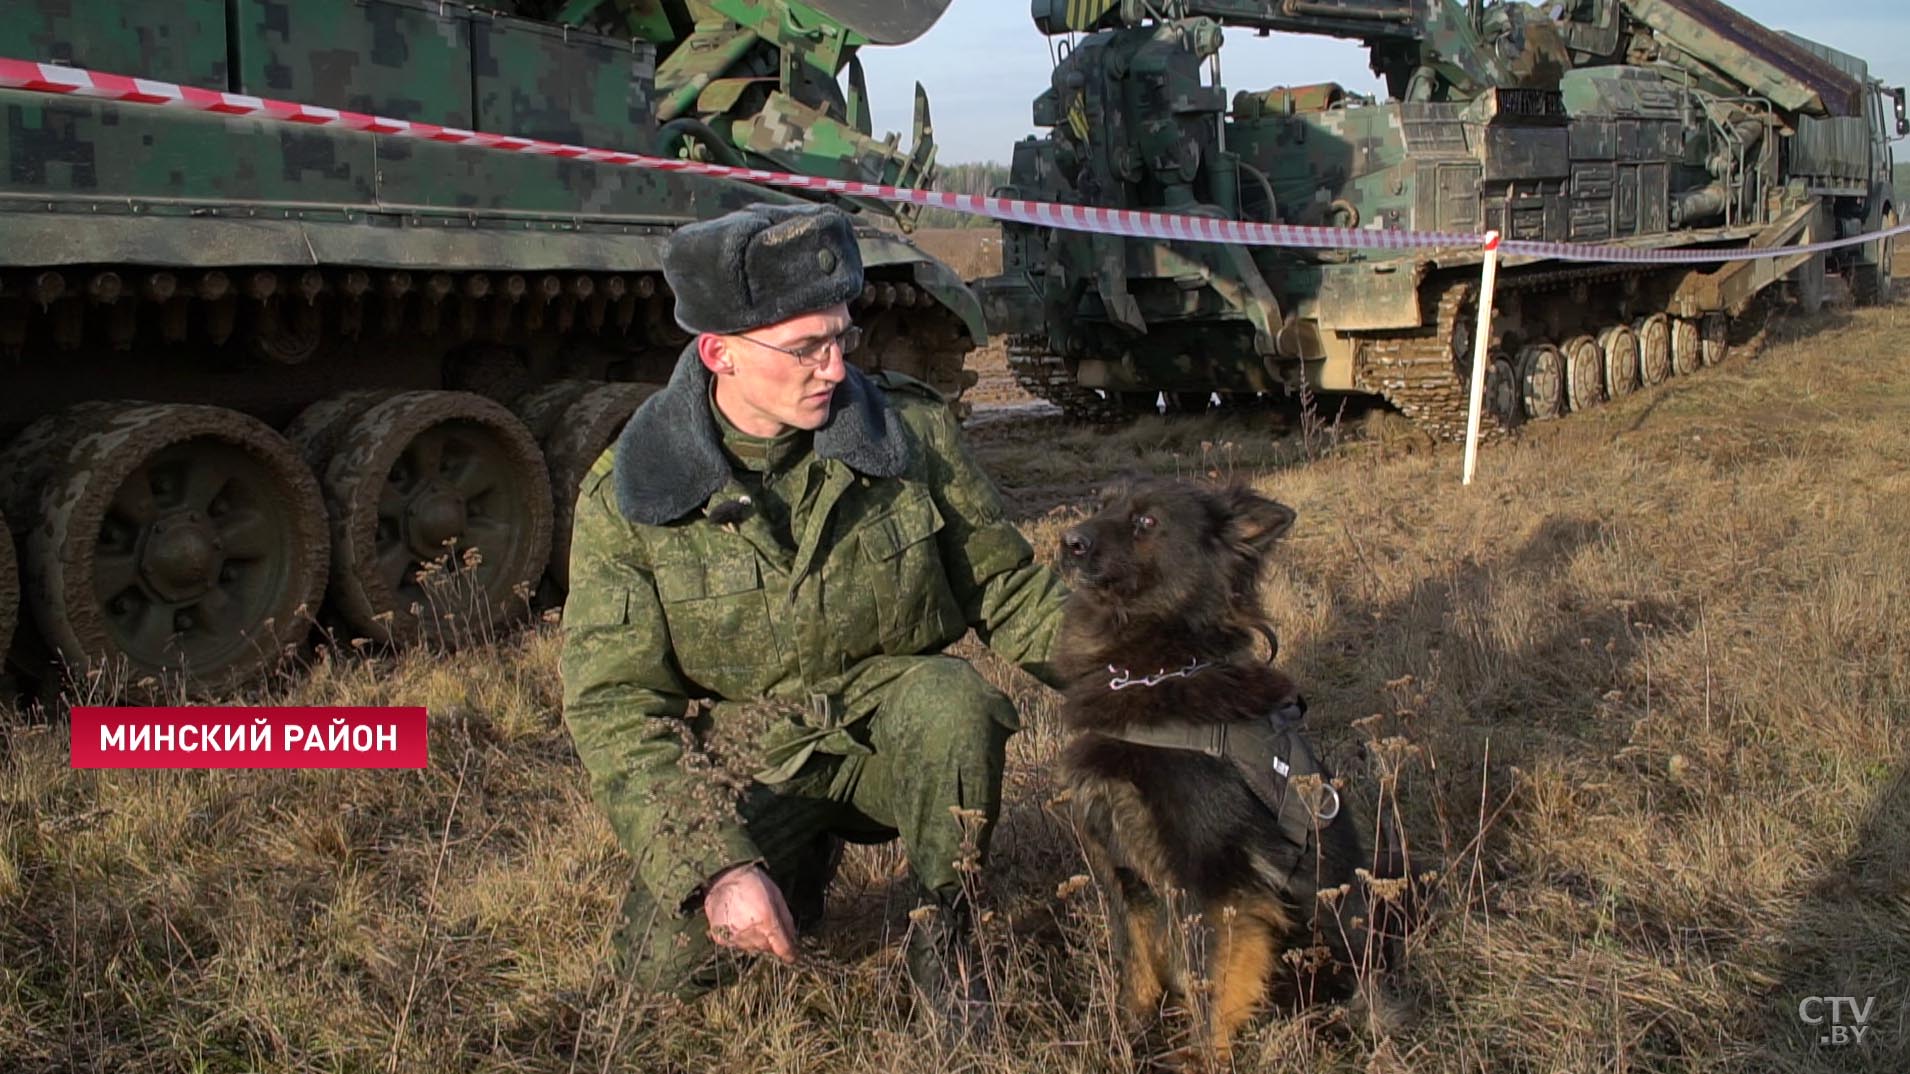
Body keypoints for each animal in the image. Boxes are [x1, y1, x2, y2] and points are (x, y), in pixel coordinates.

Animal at [1054, 477, 1398, 1062]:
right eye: (1102, 505)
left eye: (1146, 521)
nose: (1067, 542)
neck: (1163, 667)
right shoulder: (1122, 873)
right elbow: (1134, 966)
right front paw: (1127, 1035)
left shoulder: (1213, 883)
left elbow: (1211, 986)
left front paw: (1197, 1058)